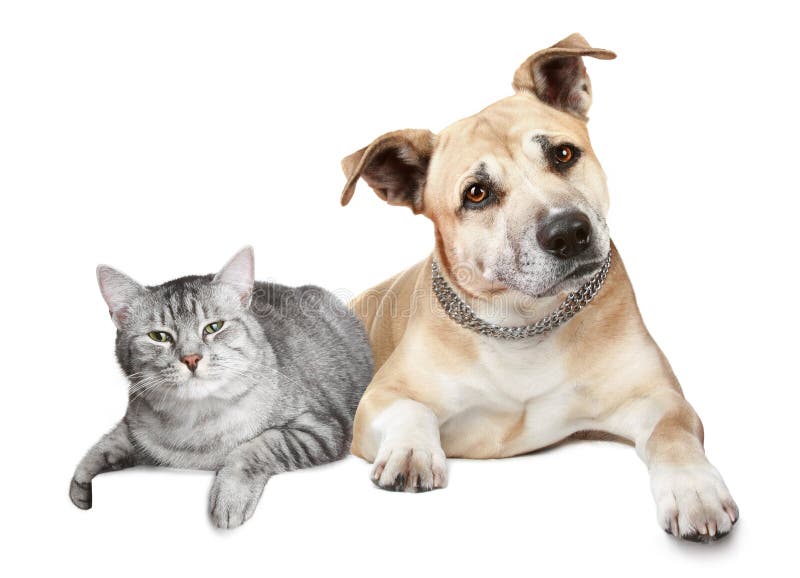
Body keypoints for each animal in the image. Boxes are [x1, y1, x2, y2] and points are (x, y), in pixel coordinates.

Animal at [69, 246, 372, 528]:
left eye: (213, 327)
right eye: (159, 336)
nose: (191, 358)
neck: (195, 425)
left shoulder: (322, 428)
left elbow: (258, 446)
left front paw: (230, 496)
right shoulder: (134, 421)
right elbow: (109, 441)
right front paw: (82, 479)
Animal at [338, 32, 736, 540]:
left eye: (563, 154)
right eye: (476, 194)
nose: (568, 232)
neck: (523, 323)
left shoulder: (656, 399)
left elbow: (674, 434)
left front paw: (694, 490)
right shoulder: (380, 399)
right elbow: (411, 410)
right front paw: (411, 450)